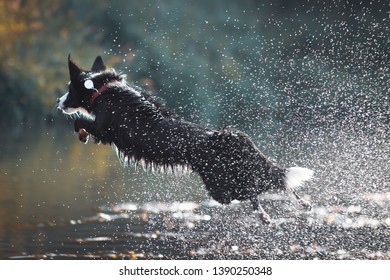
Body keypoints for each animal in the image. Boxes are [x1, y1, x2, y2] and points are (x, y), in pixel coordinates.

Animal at [58, 55, 314, 224]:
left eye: (69, 89)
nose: (58, 103)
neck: (104, 89)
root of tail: (228, 137)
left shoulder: (104, 129)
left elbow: (80, 122)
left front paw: (82, 133)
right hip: (235, 176)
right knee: (276, 181)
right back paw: (302, 203)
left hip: (221, 187)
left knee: (254, 191)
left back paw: (264, 215)